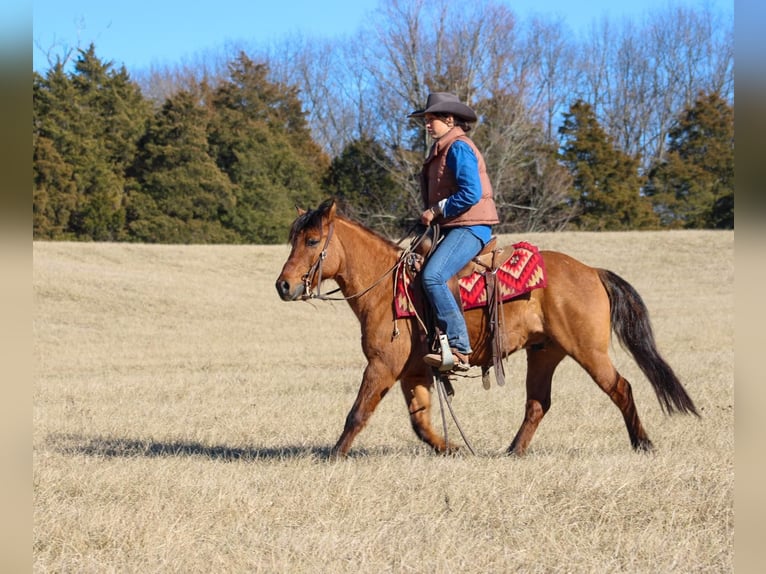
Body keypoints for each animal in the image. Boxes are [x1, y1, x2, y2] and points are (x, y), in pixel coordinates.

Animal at [278, 200, 704, 462]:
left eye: (312, 240)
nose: (284, 286)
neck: (387, 288)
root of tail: (591, 271)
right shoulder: (414, 371)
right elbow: (421, 422)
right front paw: (451, 449)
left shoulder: (383, 365)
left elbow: (358, 412)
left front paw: (334, 455)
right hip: (545, 352)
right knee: (538, 403)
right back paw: (512, 451)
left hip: (589, 351)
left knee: (621, 388)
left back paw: (643, 444)